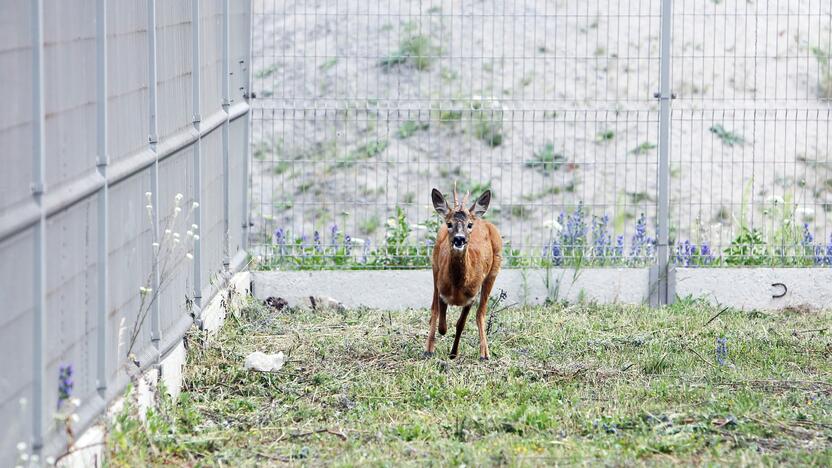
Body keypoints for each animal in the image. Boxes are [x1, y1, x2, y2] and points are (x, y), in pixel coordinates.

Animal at [426, 185, 504, 360]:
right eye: (449, 223)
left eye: (469, 225)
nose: (459, 239)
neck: (457, 287)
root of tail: (481, 218)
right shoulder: (441, 289)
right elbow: (441, 322)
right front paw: (436, 345)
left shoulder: (471, 297)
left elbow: (460, 324)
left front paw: (453, 353)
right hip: (434, 267)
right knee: (434, 309)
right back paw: (428, 349)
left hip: (493, 271)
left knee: (481, 313)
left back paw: (484, 353)